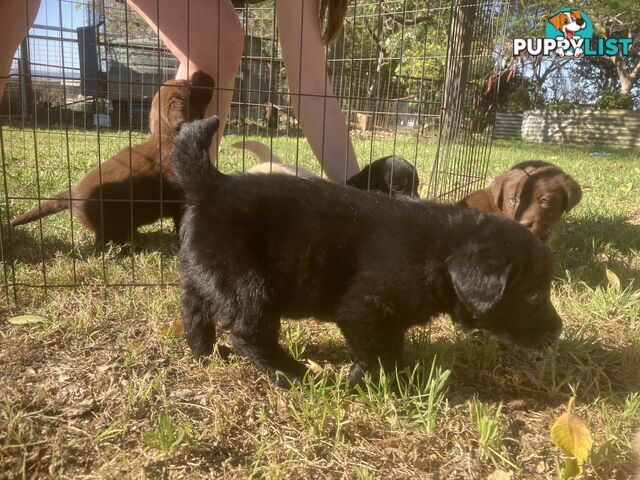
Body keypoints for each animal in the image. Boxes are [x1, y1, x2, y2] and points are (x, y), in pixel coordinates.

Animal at [10, 73, 215, 246]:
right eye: (190, 84)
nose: (205, 73)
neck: (169, 138)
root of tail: (72, 192)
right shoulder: (181, 200)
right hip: (109, 221)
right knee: (105, 240)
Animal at [172, 118, 564, 388]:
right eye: (533, 296)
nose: (558, 332)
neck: (438, 253)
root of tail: (214, 184)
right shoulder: (364, 310)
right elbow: (382, 356)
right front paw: (367, 383)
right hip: (248, 283)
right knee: (247, 333)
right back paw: (294, 374)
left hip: (206, 273)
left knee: (194, 309)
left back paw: (205, 353)